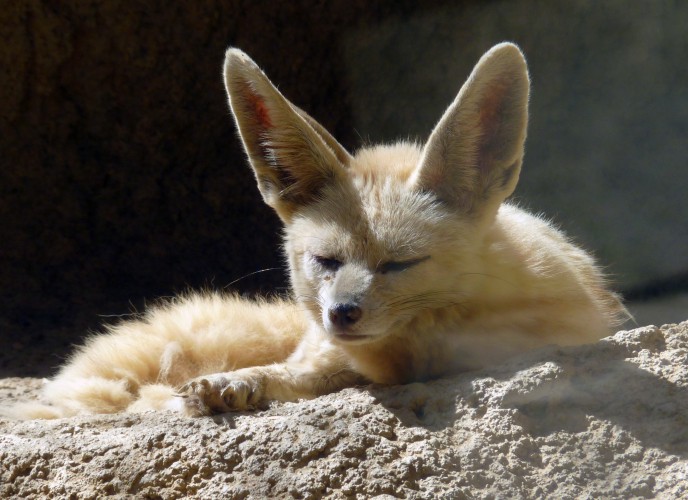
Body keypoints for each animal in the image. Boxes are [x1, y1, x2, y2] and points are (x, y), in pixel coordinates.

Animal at [6, 42, 628, 419]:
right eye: (326, 261)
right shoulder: (329, 354)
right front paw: (236, 384)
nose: (343, 313)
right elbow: (301, 373)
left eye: (400, 264)